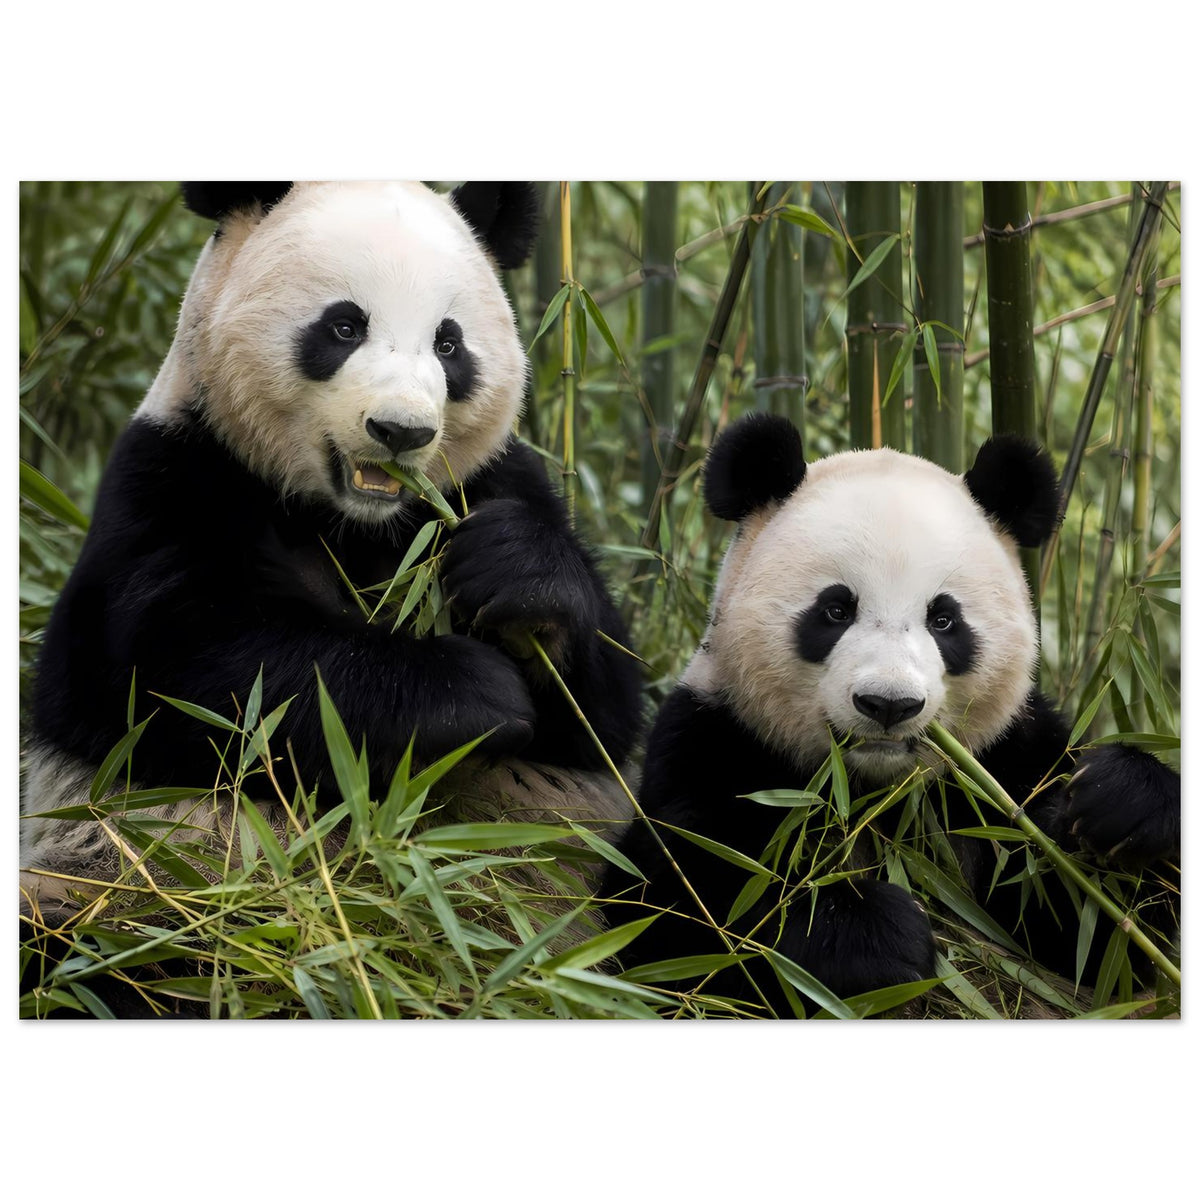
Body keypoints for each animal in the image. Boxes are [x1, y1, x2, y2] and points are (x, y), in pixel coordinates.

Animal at [21, 182, 642, 1010]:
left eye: (449, 345)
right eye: (345, 326)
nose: (401, 431)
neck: (355, 523)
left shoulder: (489, 483)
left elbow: (603, 714)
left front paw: (518, 577)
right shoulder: (171, 481)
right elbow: (189, 676)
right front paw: (473, 691)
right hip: (127, 898)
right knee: (86, 953)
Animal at [602, 412, 1180, 1016]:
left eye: (944, 620)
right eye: (836, 610)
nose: (889, 704)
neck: (875, 793)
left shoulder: (1003, 761)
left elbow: (1097, 935)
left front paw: (1119, 806)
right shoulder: (716, 738)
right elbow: (687, 903)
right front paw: (874, 935)